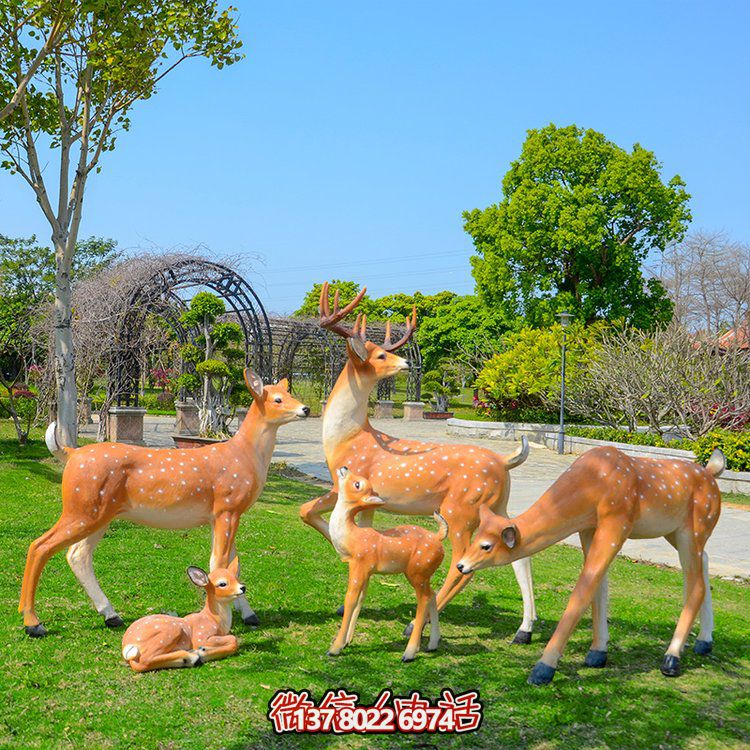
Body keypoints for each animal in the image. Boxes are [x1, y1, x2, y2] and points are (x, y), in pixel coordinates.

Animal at [19, 370, 308, 640]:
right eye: (278, 399)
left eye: (290, 393)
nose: (305, 409)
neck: (245, 456)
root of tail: (72, 454)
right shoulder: (228, 505)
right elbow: (218, 561)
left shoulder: (221, 514)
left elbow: (232, 562)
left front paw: (248, 614)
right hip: (80, 508)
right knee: (40, 546)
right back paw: (33, 623)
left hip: (98, 513)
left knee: (77, 555)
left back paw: (111, 615)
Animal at [302, 284, 540, 644]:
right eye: (380, 354)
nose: (406, 363)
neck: (347, 437)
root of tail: (504, 460)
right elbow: (316, 515)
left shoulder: (345, 482)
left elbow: (307, 511)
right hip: (498, 504)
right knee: (519, 553)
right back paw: (523, 630)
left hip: (460, 509)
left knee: (462, 566)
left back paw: (417, 625)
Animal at [328, 470, 446, 664]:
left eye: (358, 484)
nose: (344, 468)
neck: (351, 538)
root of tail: (438, 537)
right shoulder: (367, 571)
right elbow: (361, 599)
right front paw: (347, 641)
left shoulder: (359, 565)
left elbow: (350, 599)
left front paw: (335, 648)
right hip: (423, 573)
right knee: (433, 595)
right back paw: (433, 644)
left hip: (418, 571)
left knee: (424, 599)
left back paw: (409, 653)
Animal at [456, 446, 724, 688]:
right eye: (476, 538)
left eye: (486, 546)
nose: (461, 565)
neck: (591, 485)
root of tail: (712, 473)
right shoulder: (588, 528)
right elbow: (599, 587)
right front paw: (597, 653)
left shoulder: (616, 522)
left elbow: (584, 587)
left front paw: (543, 668)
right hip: (675, 532)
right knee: (702, 566)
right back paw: (703, 642)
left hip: (696, 527)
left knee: (697, 584)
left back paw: (672, 658)